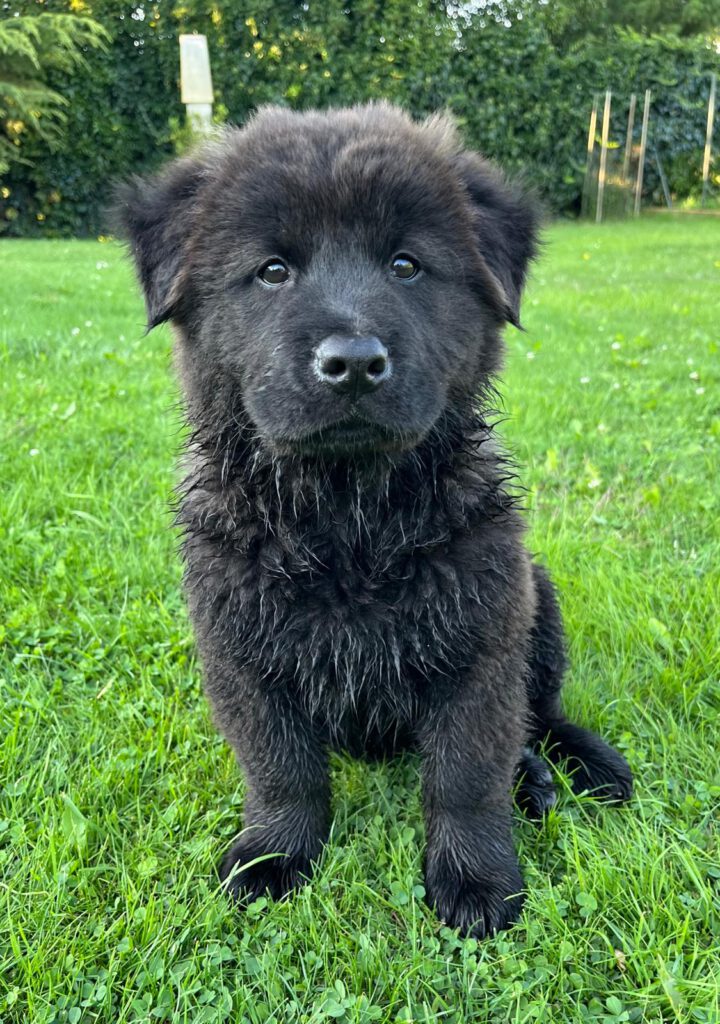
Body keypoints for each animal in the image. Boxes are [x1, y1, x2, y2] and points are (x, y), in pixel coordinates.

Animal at [115, 103, 632, 938]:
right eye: (272, 271)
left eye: (406, 266)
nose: (353, 361)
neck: (348, 527)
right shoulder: (240, 652)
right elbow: (281, 770)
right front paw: (273, 855)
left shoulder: (483, 644)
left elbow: (465, 776)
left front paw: (477, 880)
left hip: (538, 597)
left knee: (543, 715)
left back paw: (572, 768)